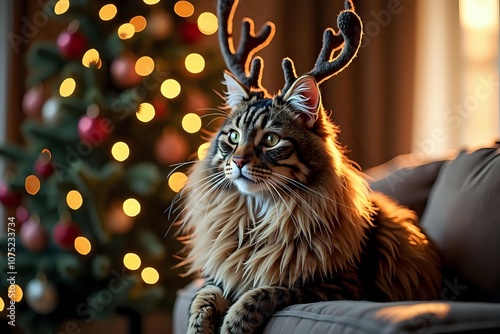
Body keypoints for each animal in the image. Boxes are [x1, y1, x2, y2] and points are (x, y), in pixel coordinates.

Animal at [176, 0, 442, 334]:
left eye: (271, 139)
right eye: (233, 137)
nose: (237, 161)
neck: (257, 221)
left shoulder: (339, 286)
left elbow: (261, 293)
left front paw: (233, 325)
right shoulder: (216, 278)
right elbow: (201, 304)